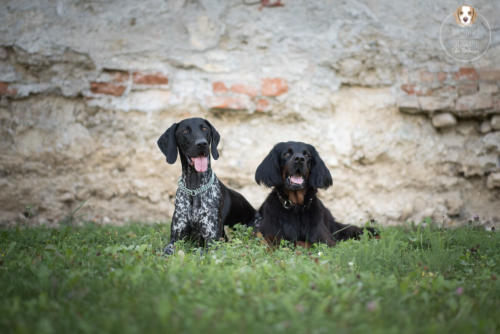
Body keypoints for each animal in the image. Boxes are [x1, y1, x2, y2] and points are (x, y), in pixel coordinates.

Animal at [158, 118, 256, 256]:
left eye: (205, 129)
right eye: (185, 131)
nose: (202, 144)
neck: (194, 189)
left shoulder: (212, 240)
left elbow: (201, 252)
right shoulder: (175, 238)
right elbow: (167, 250)